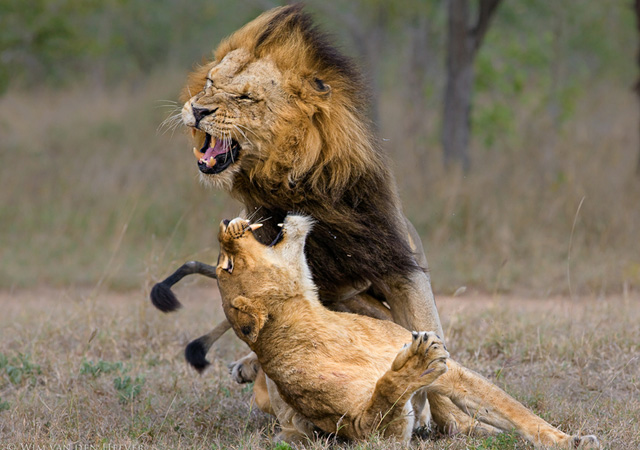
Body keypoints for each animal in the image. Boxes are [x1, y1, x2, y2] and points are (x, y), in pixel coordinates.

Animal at [215, 216, 600, 448]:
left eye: (226, 264)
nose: (225, 222)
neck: (323, 322)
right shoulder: (364, 430)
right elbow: (383, 396)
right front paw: (413, 364)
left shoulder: (453, 375)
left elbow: (517, 412)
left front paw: (571, 441)